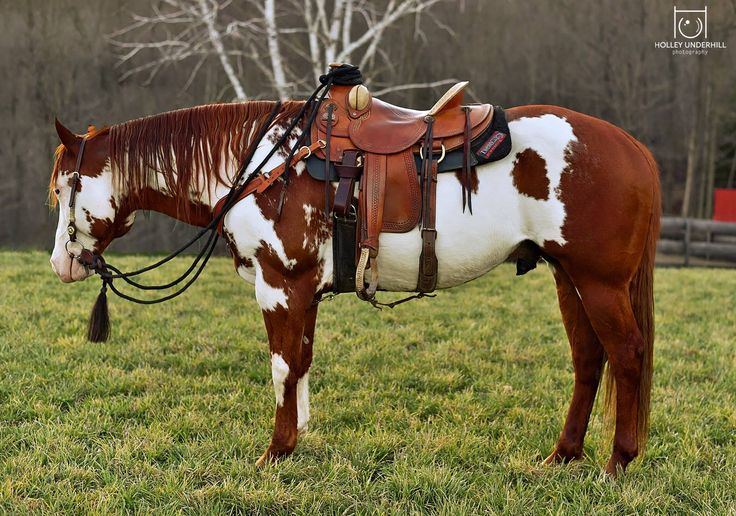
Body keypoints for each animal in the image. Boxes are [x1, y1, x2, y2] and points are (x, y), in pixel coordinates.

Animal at [51, 100, 660, 476]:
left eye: (66, 186)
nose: (62, 263)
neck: (261, 165)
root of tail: (633, 148)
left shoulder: (279, 285)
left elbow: (281, 366)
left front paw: (275, 451)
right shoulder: (303, 291)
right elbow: (301, 361)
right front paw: (295, 440)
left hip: (600, 284)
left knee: (628, 354)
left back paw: (618, 462)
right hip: (569, 279)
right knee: (589, 360)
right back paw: (564, 455)